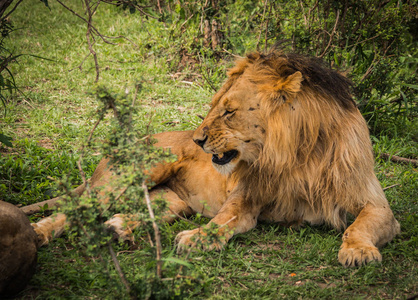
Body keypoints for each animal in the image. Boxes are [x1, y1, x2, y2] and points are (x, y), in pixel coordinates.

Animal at [25, 51, 398, 268]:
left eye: (229, 112)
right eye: (216, 106)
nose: (197, 140)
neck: (297, 156)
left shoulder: (375, 203)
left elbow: (359, 225)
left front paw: (359, 251)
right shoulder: (244, 198)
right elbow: (223, 220)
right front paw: (198, 238)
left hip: (172, 202)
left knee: (136, 212)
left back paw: (118, 230)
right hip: (140, 171)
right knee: (74, 209)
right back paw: (38, 234)